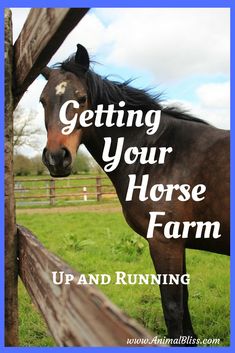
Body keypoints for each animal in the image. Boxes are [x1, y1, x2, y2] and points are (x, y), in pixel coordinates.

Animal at [39, 43, 229, 344]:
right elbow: (184, 303)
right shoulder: (178, 244)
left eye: (81, 98)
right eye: (43, 101)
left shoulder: (164, 242)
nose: (57, 158)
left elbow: (173, 308)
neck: (157, 153)